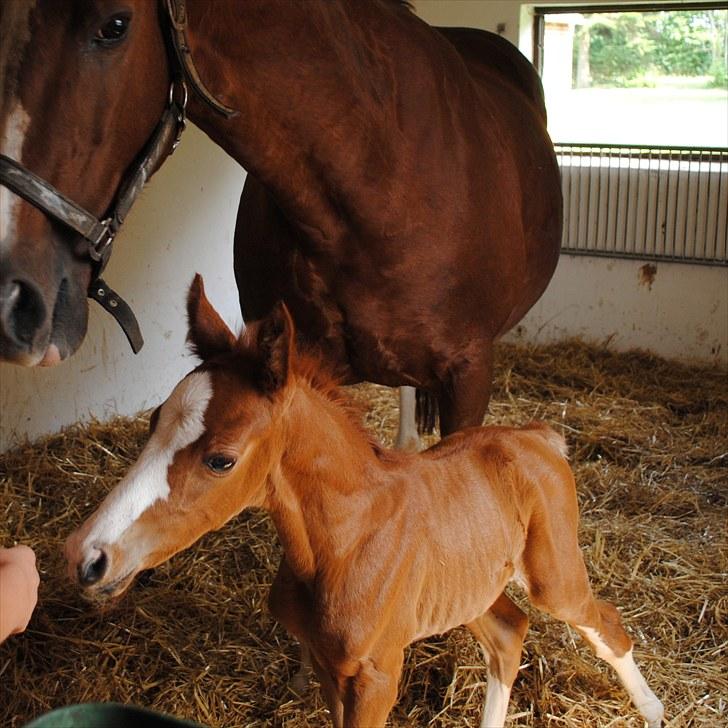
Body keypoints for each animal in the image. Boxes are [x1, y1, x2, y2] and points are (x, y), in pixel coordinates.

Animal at [65, 274, 664, 728]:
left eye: (221, 460)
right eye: (153, 422)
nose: (86, 557)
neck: (342, 542)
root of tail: (539, 437)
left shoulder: (377, 675)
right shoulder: (331, 669)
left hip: (553, 577)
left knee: (605, 624)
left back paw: (654, 710)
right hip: (471, 586)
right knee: (508, 634)